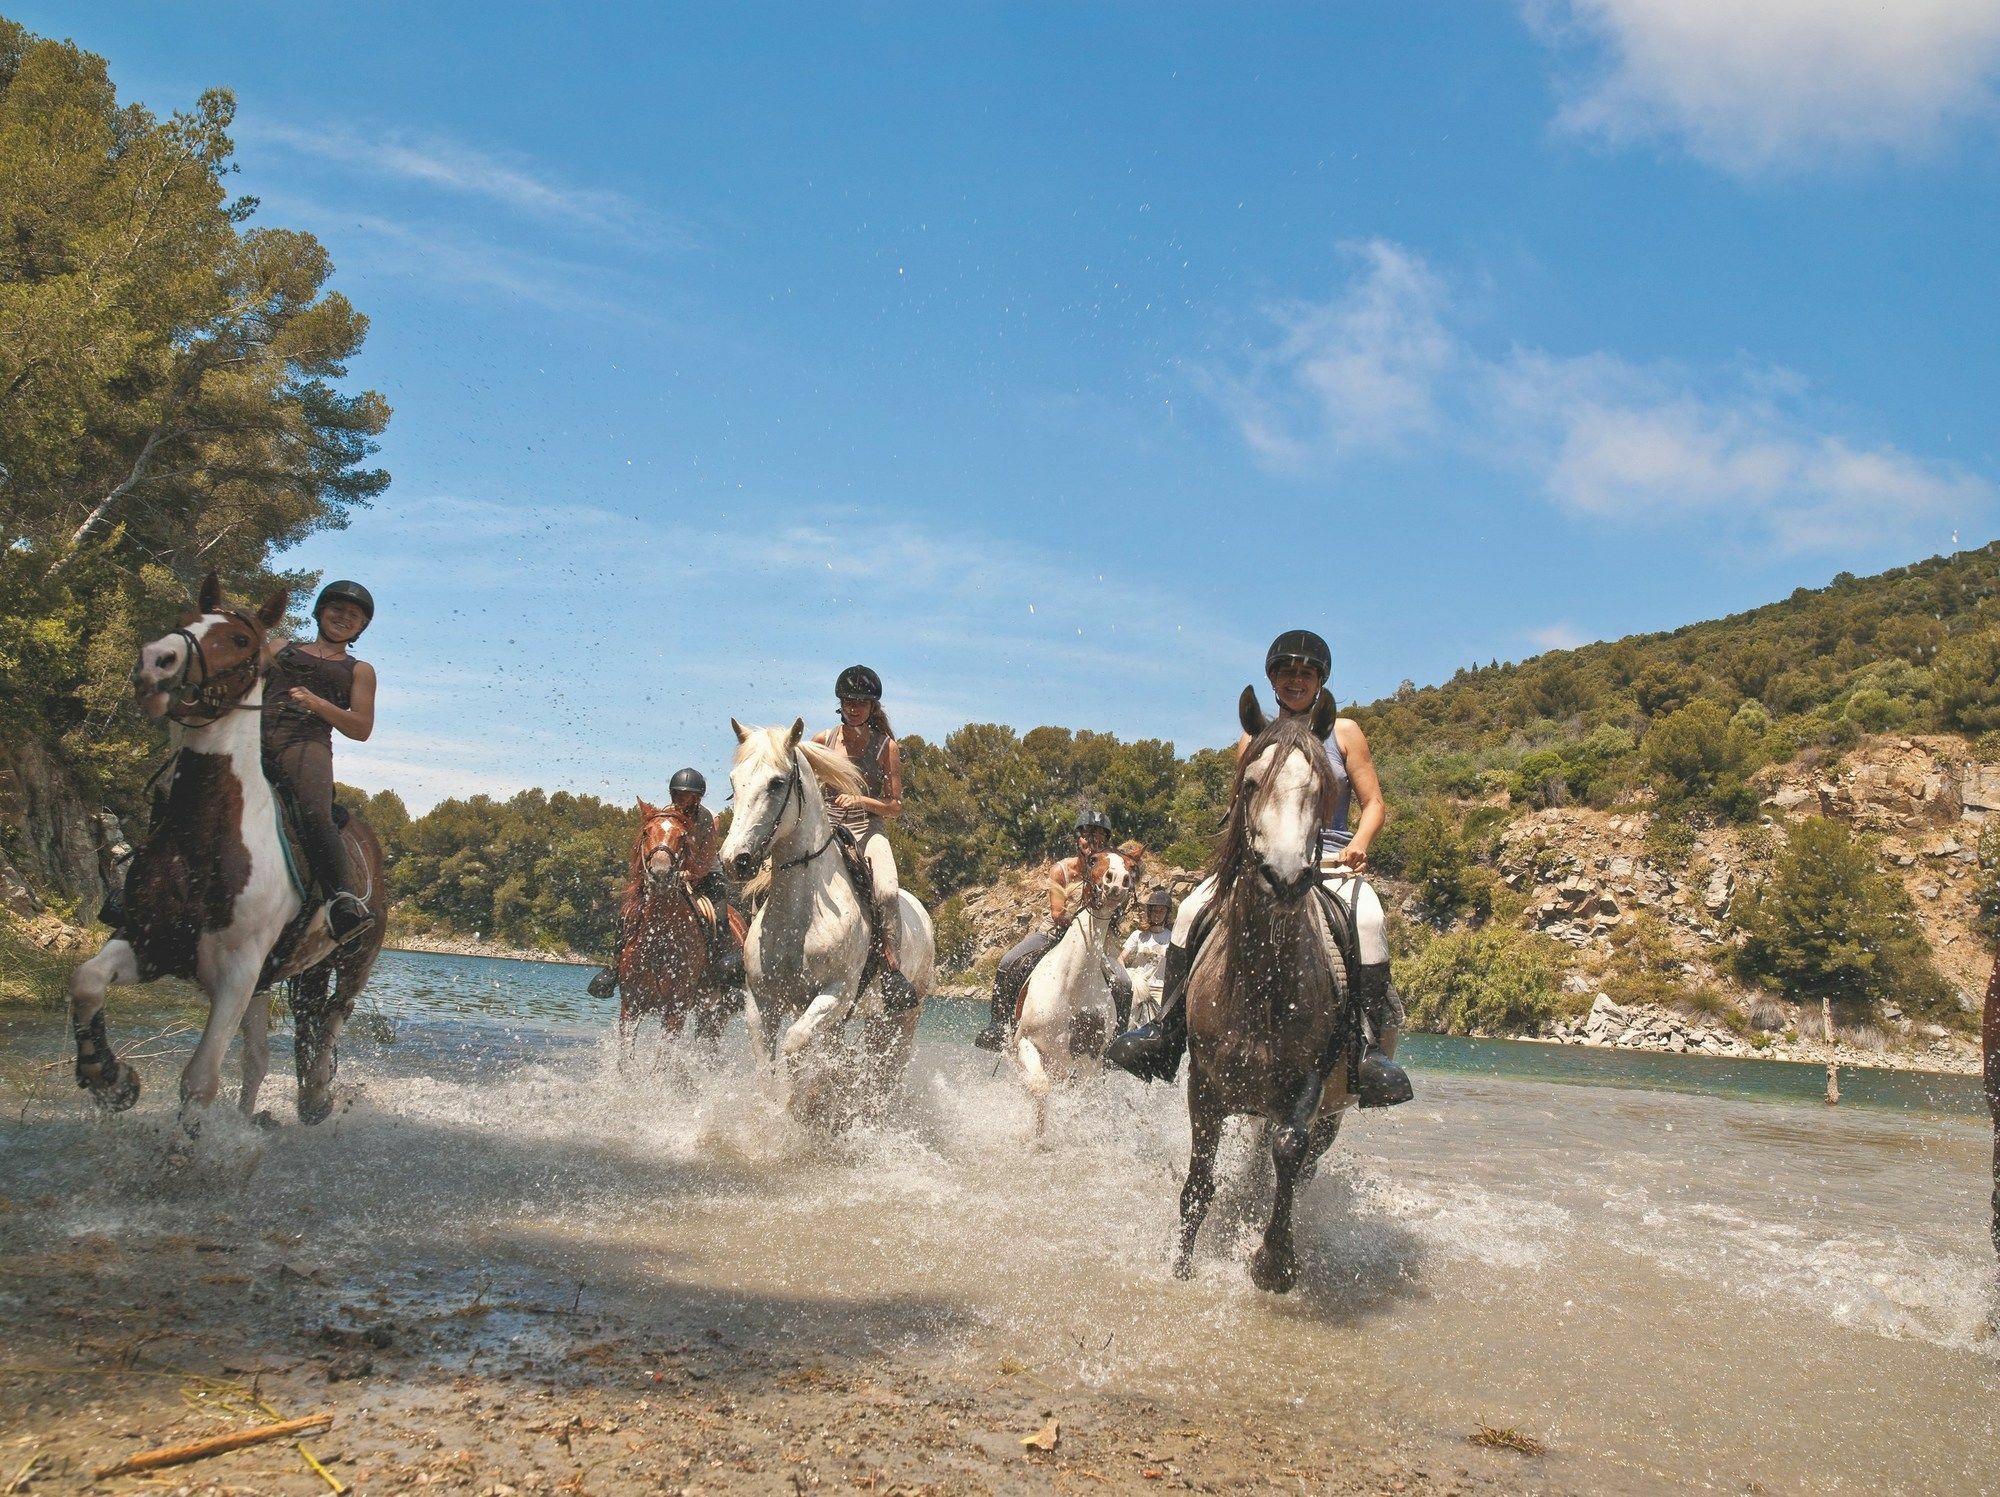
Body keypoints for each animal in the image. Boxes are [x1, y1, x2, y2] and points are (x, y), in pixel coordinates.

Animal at [66, 572, 384, 1120]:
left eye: (238, 640)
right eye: (185, 621)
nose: (155, 662)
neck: (207, 836)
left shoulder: (237, 972)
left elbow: (199, 1082)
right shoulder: (150, 943)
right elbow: (86, 981)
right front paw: (111, 1078)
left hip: (351, 965)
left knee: (328, 1023)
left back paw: (316, 1097)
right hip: (278, 979)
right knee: (262, 1056)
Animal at [612, 800, 740, 1048]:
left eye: (682, 837)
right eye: (646, 832)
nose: (661, 873)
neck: (659, 935)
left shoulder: (675, 1010)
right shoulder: (630, 1006)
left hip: (718, 1012)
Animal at [720, 720, 936, 1128]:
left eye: (777, 782)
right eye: (734, 780)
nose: (734, 859)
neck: (801, 915)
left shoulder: (834, 994)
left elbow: (795, 1043)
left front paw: (797, 1105)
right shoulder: (762, 1001)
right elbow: (767, 1065)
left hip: (901, 1019)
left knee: (887, 1071)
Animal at [1168, 696, 1360, 1288]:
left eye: (1321, 788)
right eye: (1251, 783)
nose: (1285, 877)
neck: (1260, 987)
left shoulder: (1307, 1086)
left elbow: (1289, 1152)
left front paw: (1274, 1261)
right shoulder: (1205, 1088)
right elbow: (1198, 1184)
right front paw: (1179, 1268)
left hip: (1332, 1112)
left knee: (1297, 1168)